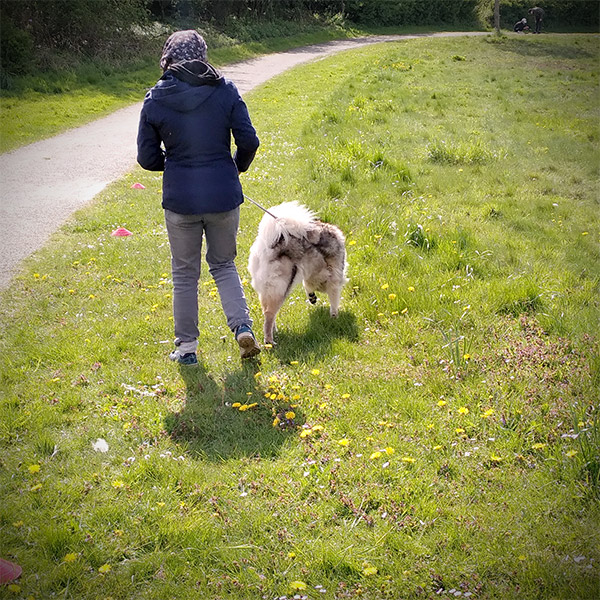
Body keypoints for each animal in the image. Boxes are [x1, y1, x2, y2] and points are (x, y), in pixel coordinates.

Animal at [247, 202, 346, 344]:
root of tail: (266, 247)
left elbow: (308, 285)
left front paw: (312, 297)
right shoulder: (334, 280)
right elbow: (334, 301)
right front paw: (334, 317)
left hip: (268, 291)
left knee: (268, 313)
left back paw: (274, 332)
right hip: (280, 289)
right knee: (269, 316)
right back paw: (270, 341)